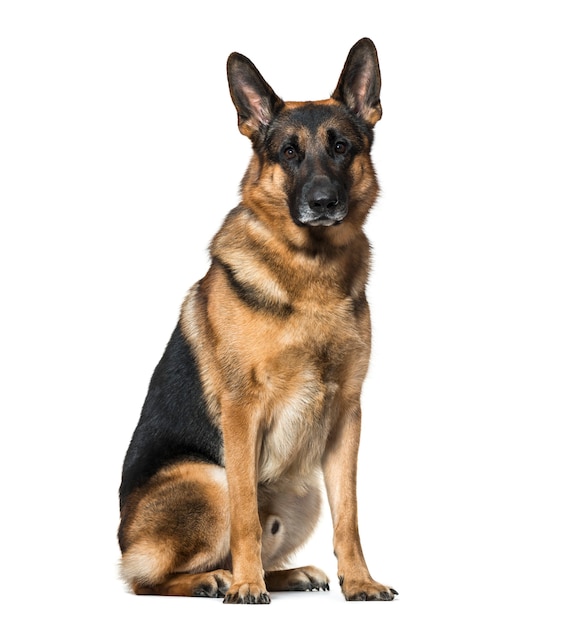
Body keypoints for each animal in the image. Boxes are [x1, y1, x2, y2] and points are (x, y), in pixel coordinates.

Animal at [118, 37, 398, 600]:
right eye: (288, 152)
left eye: (342, 147)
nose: (322, 202)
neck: (310, 274)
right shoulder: (242, 411)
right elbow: (246, 512)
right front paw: (247, 587)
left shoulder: (347, 415)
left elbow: (350, 516)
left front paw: (359, 581)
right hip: (209, 478)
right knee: (145, 579)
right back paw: (217, 579)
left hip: (305, 491)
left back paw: (286, 574)